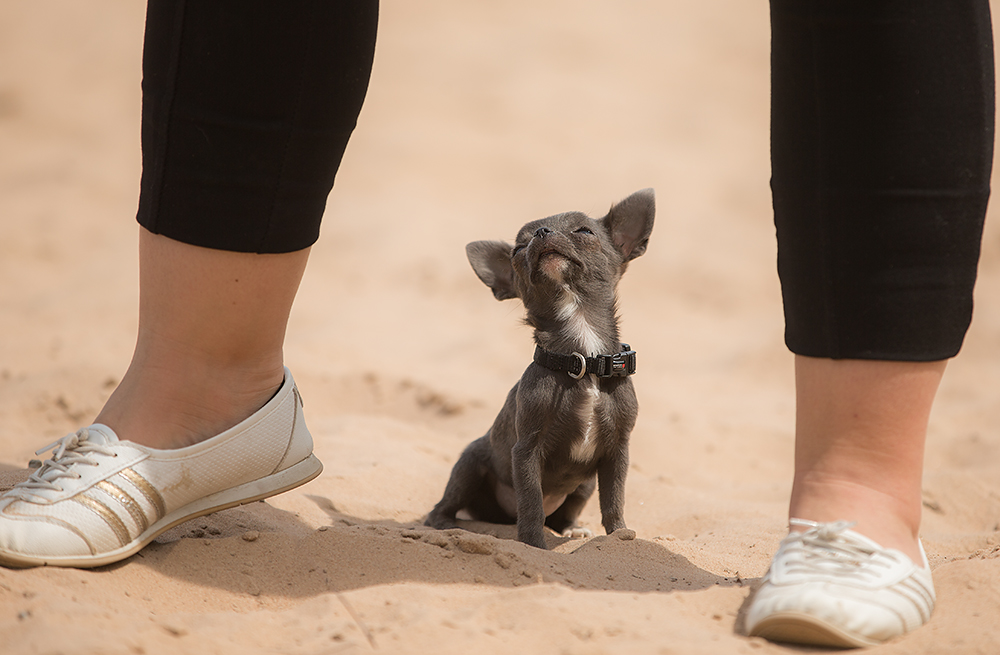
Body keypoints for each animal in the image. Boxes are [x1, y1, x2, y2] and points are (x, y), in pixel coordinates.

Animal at [424, 188, 652, 548]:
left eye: (584, 231)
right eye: (518, 249)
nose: (543, 233)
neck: (583, 359)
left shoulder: (617, 450)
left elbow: (614, 498)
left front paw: (619, 535)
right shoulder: (527, 450)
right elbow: (531, 501)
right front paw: (533, 544)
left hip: (584, 484)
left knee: (566, 512)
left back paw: (571, 528)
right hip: (469, 464)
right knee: (446, 504)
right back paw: (447, 524)